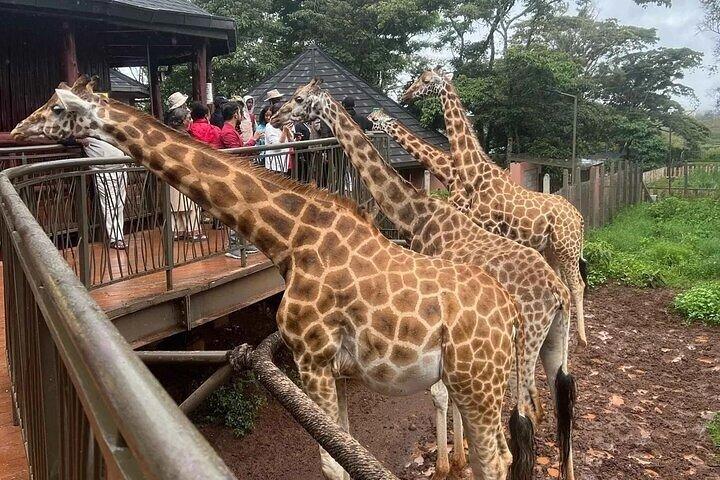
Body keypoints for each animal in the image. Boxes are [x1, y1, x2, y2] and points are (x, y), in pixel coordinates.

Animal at [12, 76, 535, 480]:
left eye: (56, 106)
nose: (18, 130)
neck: (289, 239)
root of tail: (511, 312)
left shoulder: (311, 357)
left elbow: (331, 466)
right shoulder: (335, 370)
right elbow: (347, 450)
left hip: (476, 383)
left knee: (497, 459)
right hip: (478, 386)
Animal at [401, 68, 589, 348]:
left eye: (426, 80)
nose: (406, 95)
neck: (476, 175)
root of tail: (579, 217)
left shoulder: (485, 228)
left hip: (568, 249)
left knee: (577, 285)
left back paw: (582, 339)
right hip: (552, 250)